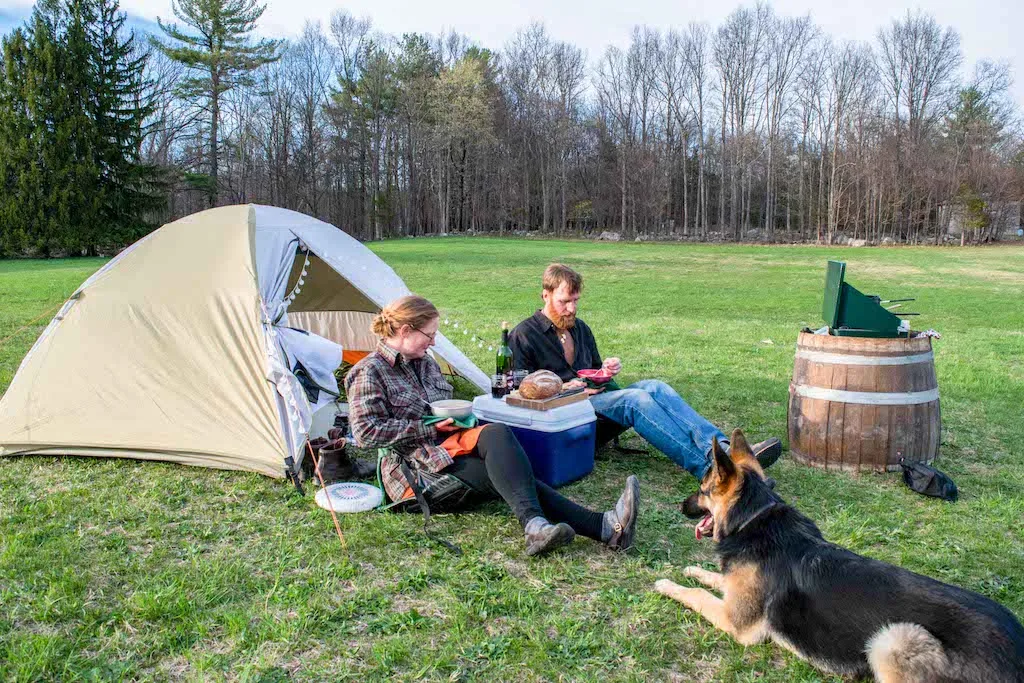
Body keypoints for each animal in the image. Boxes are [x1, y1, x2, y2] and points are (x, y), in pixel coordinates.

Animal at [655, 430, 1024, 679]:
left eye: (702, 490)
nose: (681, 505)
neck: (754, 518)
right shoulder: (734, 593)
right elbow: (714, 578)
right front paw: (693, 569)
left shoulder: (736, 622)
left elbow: (698, 594)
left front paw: (667, 584)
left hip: (892, 638)